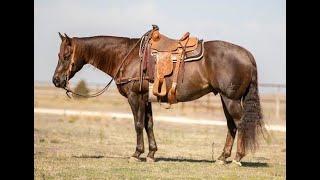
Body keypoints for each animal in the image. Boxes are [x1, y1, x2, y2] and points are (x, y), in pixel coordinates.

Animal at [53, 30, 268, 166]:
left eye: (66, 55)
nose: (56, 80)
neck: (127, 56)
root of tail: (246, 55)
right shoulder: (146, 99)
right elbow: (149, 124)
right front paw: (151, 154)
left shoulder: (135, 97)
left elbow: (138, 124)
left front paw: (136, 154)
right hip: (225, 98)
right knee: (231, 126)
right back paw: (223, 158)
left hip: (231, 99)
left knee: (240, 124)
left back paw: (237, 158)